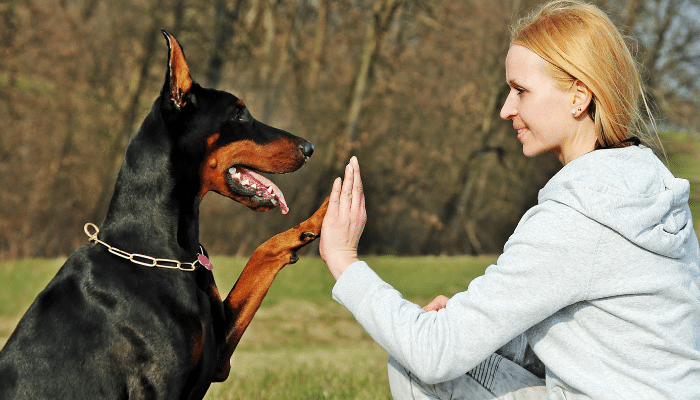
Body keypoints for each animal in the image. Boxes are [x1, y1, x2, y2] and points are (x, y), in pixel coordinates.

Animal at [0, 29, 330, 398]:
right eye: (239, 114)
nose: (309, 148)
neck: (166, 253)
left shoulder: (218, 357)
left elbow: (263, 253)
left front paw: (323, 215)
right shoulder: (157, 385)